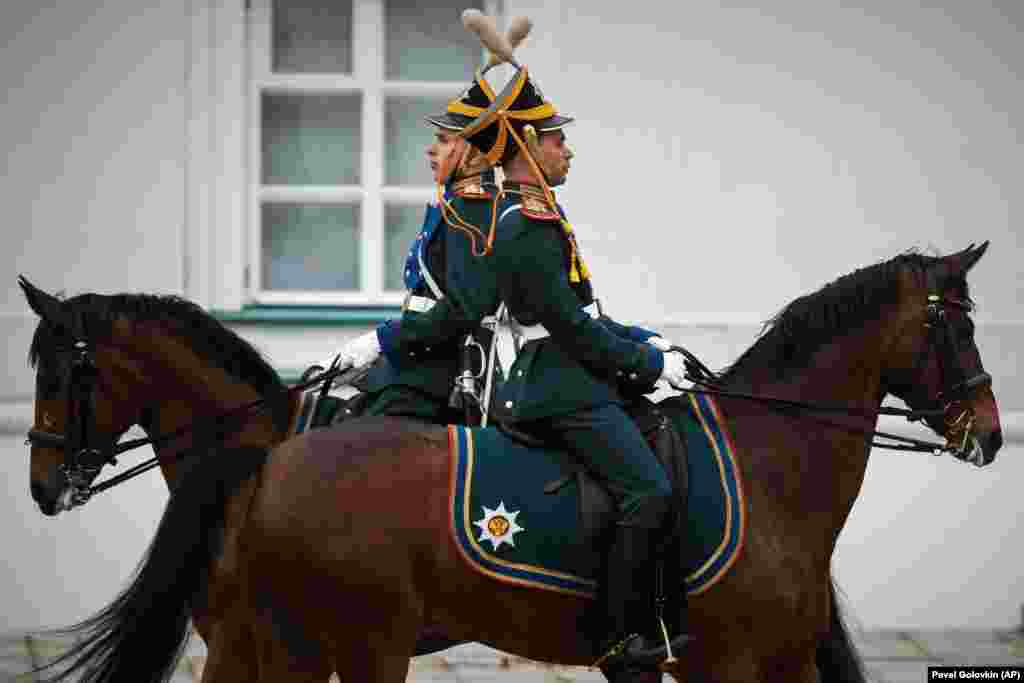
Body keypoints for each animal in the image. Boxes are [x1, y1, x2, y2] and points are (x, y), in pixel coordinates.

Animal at [19, 242, 1003, 679]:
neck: (772, 460)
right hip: (353, 643)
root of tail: (279, 466)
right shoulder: (733, 664)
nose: (991, 429)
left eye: (65, 371)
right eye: (956, 326)